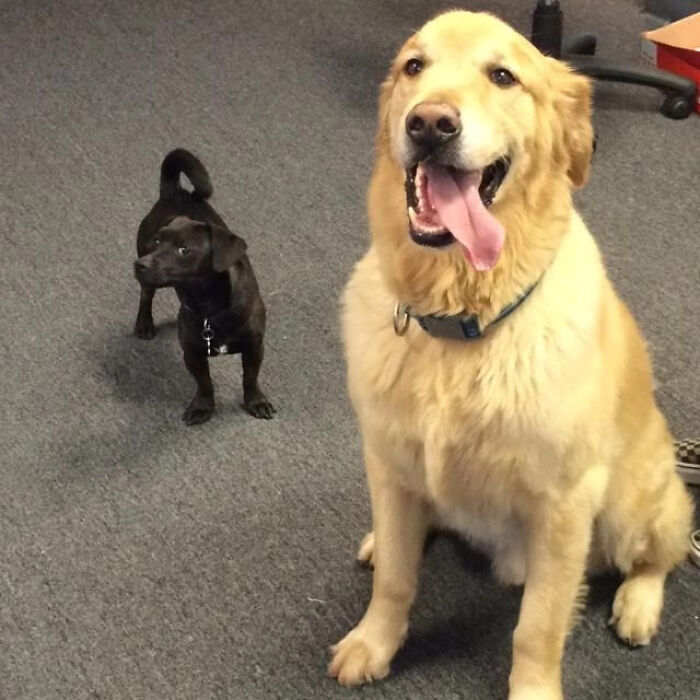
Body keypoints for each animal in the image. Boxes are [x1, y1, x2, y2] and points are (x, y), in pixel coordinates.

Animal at [133, 150, 274, 424]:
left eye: (184, 250)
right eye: (157, 242)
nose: (140, 265)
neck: (210, 306)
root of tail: (175, 192)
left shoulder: (254, 347)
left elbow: (250, 378)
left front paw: (256, 402)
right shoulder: (193, 352)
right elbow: (205, 383)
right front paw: (203, 406)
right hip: (146, 274)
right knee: (146, 295)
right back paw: (144, 323)